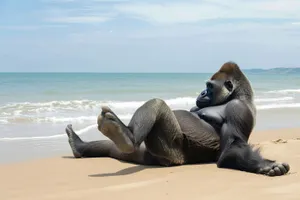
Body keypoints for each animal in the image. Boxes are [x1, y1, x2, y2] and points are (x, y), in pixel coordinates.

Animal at [65, 61, 290, 177]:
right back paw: (81, 145)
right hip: (148, 154)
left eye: (209, 86)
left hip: (171, 154)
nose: (202, 93)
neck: (238, 95)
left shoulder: (239, 109)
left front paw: (264, 165)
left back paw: (126, 136)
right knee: (114, 149)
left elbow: (231, 149)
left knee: (156, 105)